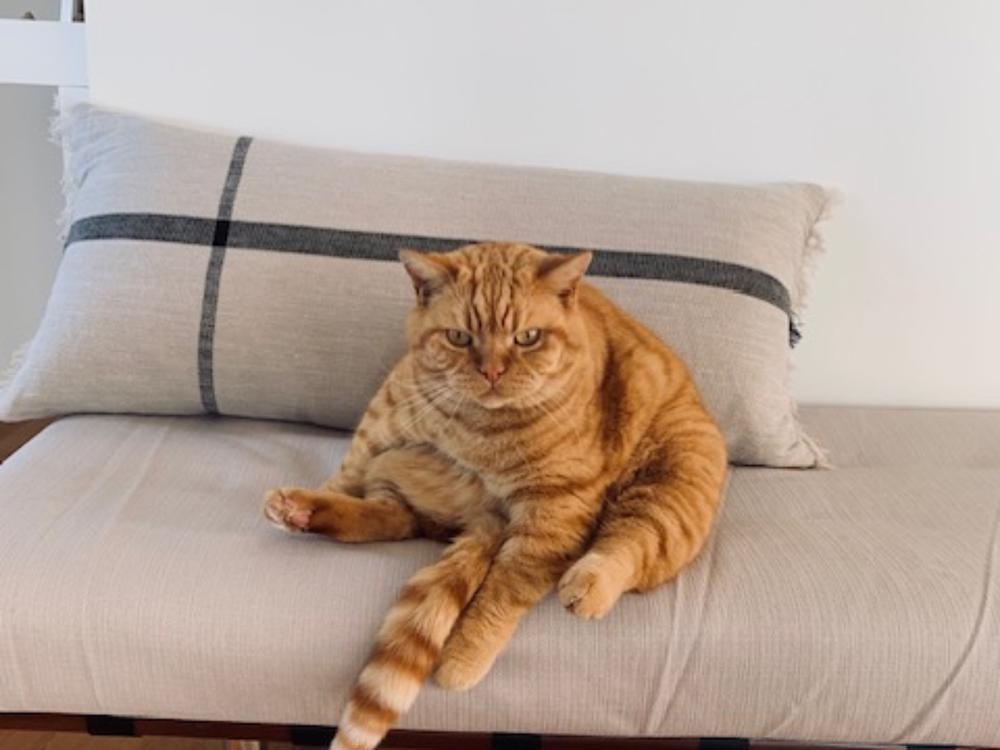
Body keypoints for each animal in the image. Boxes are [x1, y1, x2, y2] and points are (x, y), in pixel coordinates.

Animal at [263, 242, 728, 750]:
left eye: (527, 338)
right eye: (459, 337)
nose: (491, 371)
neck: (477, 432)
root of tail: (483, 511)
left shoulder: (556, 508)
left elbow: (503, 592)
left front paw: (462, 658)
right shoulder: (385, 415)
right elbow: (348, 472)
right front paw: (314, 496)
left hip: (674, 474)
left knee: (634, 539)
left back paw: (591, 582)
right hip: (396, 467)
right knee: (391, 516)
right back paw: (303, 509)